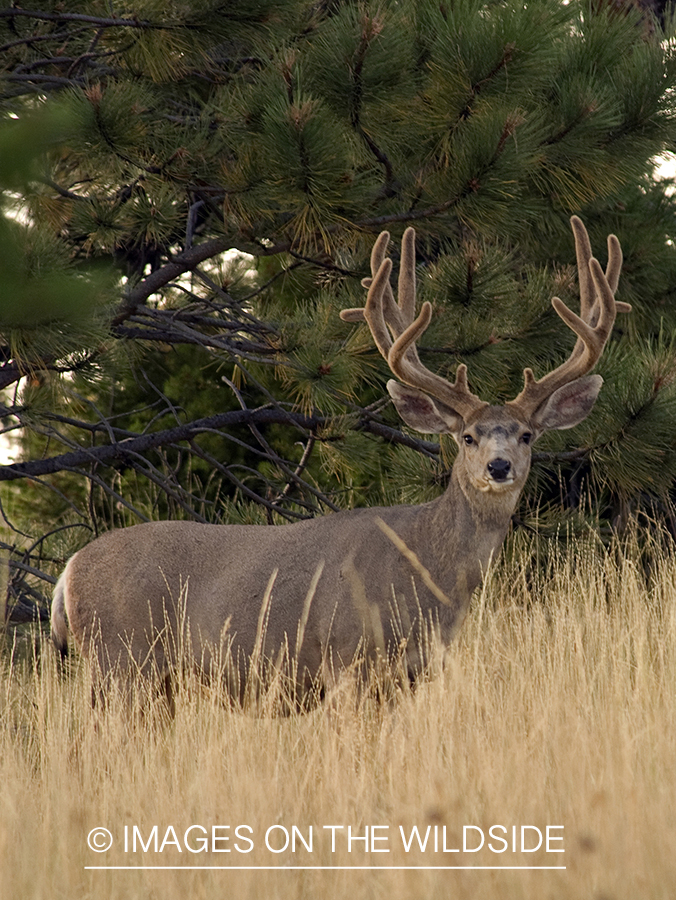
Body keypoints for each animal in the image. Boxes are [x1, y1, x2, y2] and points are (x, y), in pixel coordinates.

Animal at [50, 216, 628, 702]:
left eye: (527, 435)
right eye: (467, 437)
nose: (499, 467)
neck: (429, 576)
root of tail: (67, 573)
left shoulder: (410, 676)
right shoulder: (349, 663)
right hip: (123, 664)